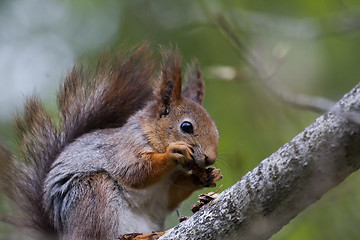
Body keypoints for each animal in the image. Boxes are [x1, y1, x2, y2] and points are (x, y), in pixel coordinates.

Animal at [0, 44, 222, 239]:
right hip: (94, 196)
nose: (210, 159)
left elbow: (170, 196)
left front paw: (207, 176)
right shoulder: (124, 149)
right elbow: (135, 172)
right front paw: (173, 152)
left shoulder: (163, 193)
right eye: (186, 127)